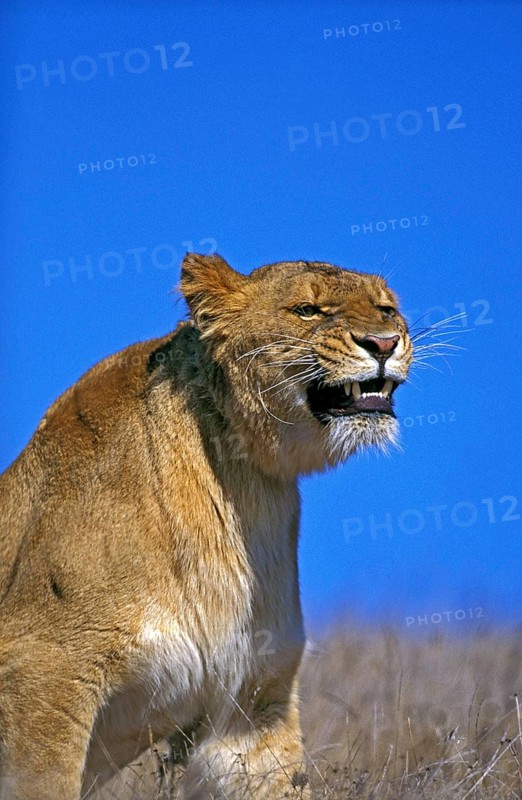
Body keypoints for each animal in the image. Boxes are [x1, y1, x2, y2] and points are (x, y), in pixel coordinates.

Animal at [0, 254, 412, 799]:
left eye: (387, 309)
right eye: (307, 310)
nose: (384, 343)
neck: (245, 486)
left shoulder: (255, 702)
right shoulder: (43, 670)